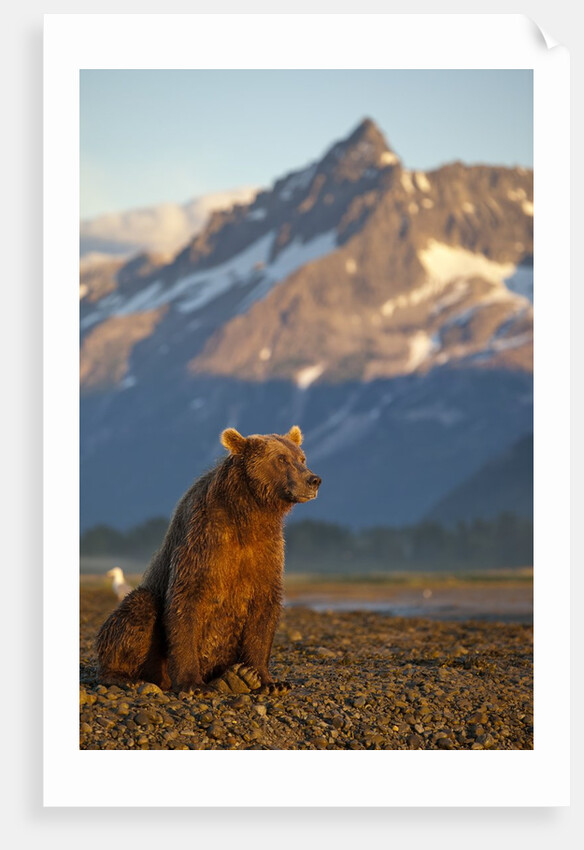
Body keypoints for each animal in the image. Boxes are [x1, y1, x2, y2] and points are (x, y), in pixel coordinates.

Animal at [95, 425, 321, 694]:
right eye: (281, 459)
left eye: (302, 458)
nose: (313, 480)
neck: (249, 513)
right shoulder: (203, 543)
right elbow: (186, 602)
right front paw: (193, 684)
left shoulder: (267, 551)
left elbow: (264, 608)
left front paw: (267, 679)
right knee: (138, 609)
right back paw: (125, 677)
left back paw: (234, 677)